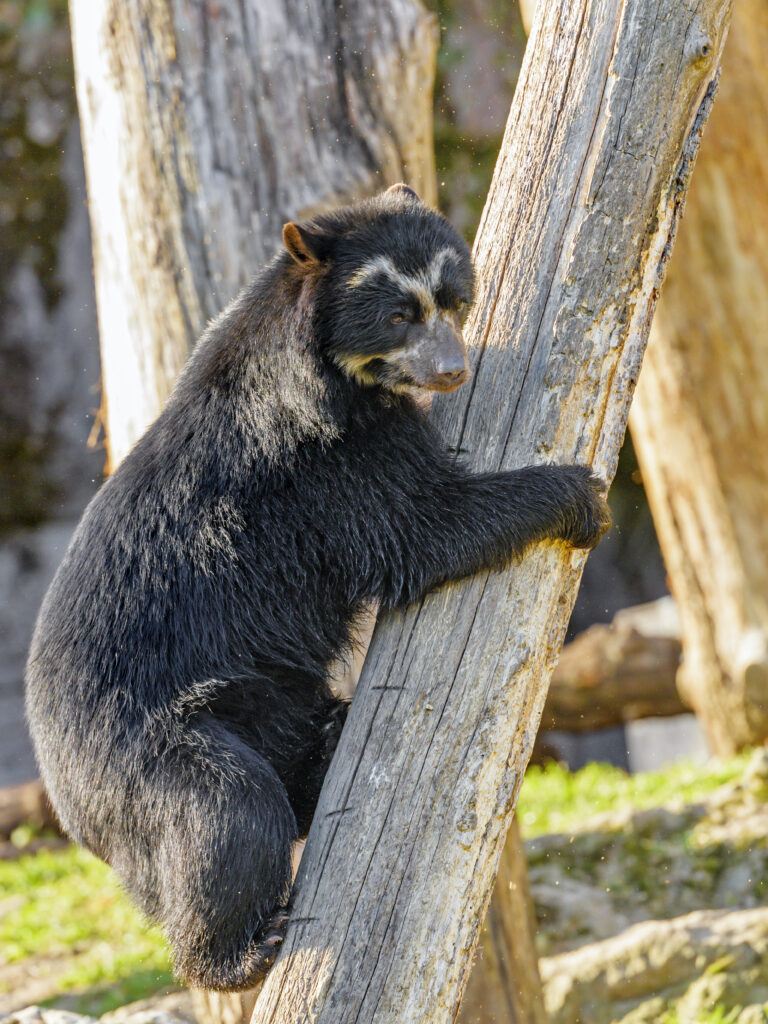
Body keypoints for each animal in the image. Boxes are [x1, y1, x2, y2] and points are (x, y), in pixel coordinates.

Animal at [25, 184, 609, 991]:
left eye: (454, 301)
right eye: (399, 316)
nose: (453, 371)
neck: (330, 372)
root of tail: (66, 801)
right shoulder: (326, 463)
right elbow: (425, 526)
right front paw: (582, 496)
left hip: (268, 698)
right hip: (147, 752)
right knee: (228, 813)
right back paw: (241, 953)